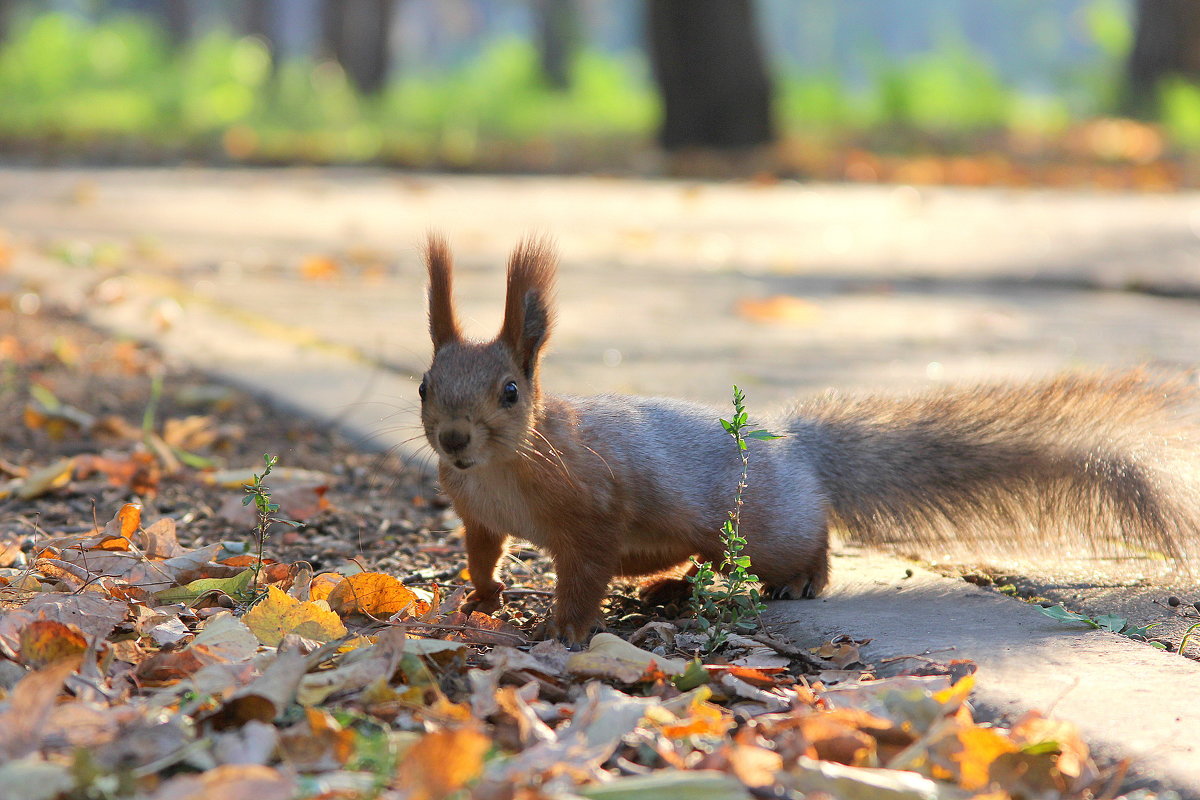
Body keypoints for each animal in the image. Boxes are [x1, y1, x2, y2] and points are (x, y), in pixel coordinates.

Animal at [415, 232, 1200, 642]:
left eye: (510, 392)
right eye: (424, 386)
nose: (453, 440)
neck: (504, 467)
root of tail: (797, 447)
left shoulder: (593, 504)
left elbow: (585, 570)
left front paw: (567, 630)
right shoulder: (476, 512)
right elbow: (482, 552)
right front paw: (481, 597)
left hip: (768, 527)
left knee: (807, 550)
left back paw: (796, 584)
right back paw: (671, 591)